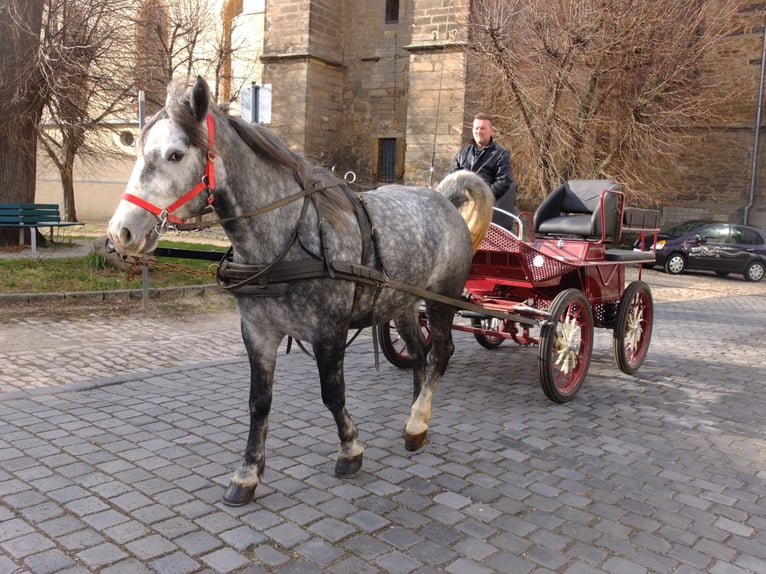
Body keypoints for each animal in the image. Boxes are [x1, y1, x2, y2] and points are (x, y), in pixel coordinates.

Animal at [106, 76, 492, 508]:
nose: (120, 232)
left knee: (441, 354)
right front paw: (248, 473)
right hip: (402, 303)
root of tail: (443, 199)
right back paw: (414, 422)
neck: (287, 236)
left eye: (175, 154)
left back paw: (417, 418)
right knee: (420, 356)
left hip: (441, 299)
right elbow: (259, 402)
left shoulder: (329, 332)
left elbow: (332, 393)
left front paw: (350, 449)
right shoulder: (257, 333)